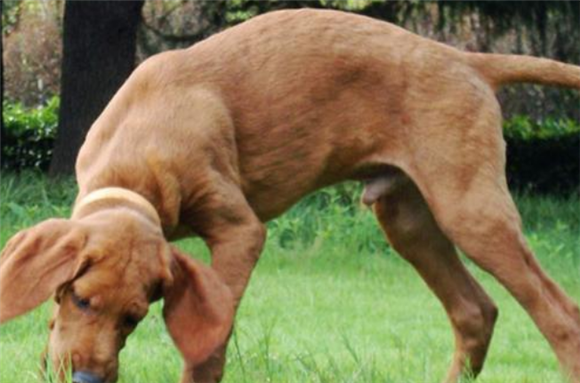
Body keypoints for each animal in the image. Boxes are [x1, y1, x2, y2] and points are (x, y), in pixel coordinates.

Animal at [1, 9, 580, 383]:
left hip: (470, 211)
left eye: (135, 317)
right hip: (406, 218)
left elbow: (209, 341)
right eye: (80, 299)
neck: (138, 157)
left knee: (559, 314)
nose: (88, 381)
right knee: (474, 309)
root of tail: (466, 61)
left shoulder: (240, 232)